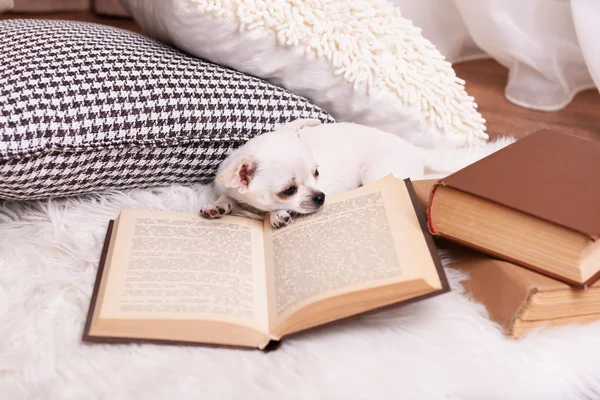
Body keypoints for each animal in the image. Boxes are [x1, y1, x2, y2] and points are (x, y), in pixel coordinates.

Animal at [199, 118, 512, 228]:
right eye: (288, 190)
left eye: (317, 173)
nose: (321, 197)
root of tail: (415, 149)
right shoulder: (226, 188)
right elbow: (227, 199)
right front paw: (217, 207)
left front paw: (277, 215)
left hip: (379, 174)